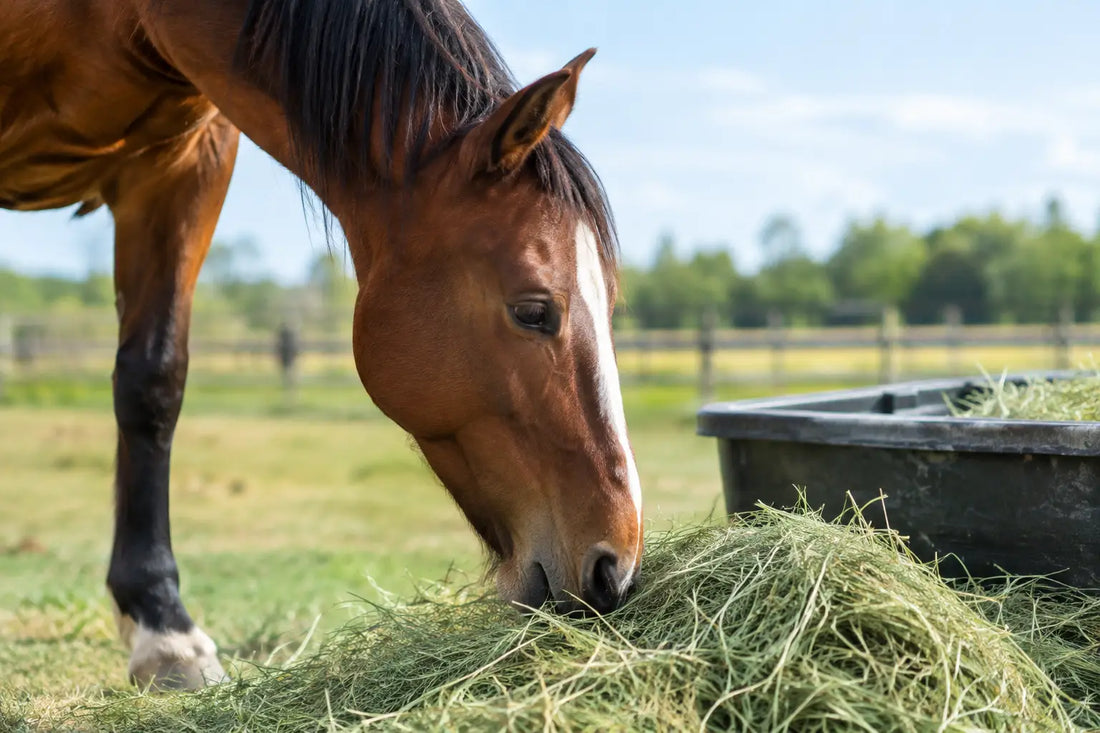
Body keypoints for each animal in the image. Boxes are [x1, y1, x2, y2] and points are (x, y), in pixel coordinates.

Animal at [0, 0, 643, 690]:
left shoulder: (181, 169)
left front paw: (160, 624)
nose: (616, 566)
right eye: (532, 311)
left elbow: (152, 384)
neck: (127, 18)